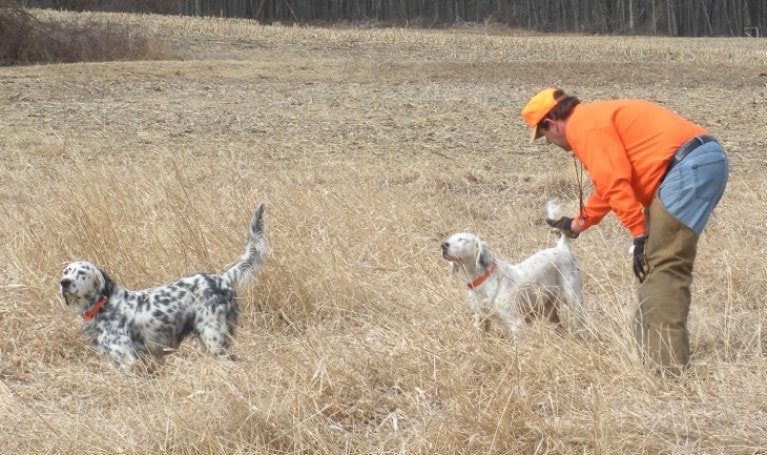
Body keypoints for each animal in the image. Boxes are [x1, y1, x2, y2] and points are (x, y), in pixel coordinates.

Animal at [58, 205, 268, 372]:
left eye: (82, 272)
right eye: (66, 271)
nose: (64, 282)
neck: (103, 304)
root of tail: (223, 277)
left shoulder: (128, 360)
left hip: (215, 340)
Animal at [440, 203, 584, 334]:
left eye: (461, 239)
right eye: (450, 239)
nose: (443, 245)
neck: (483, 278)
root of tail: (562, 248)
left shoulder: (514, 322)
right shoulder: (481, 319)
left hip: (574, 300)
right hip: (549, 310)